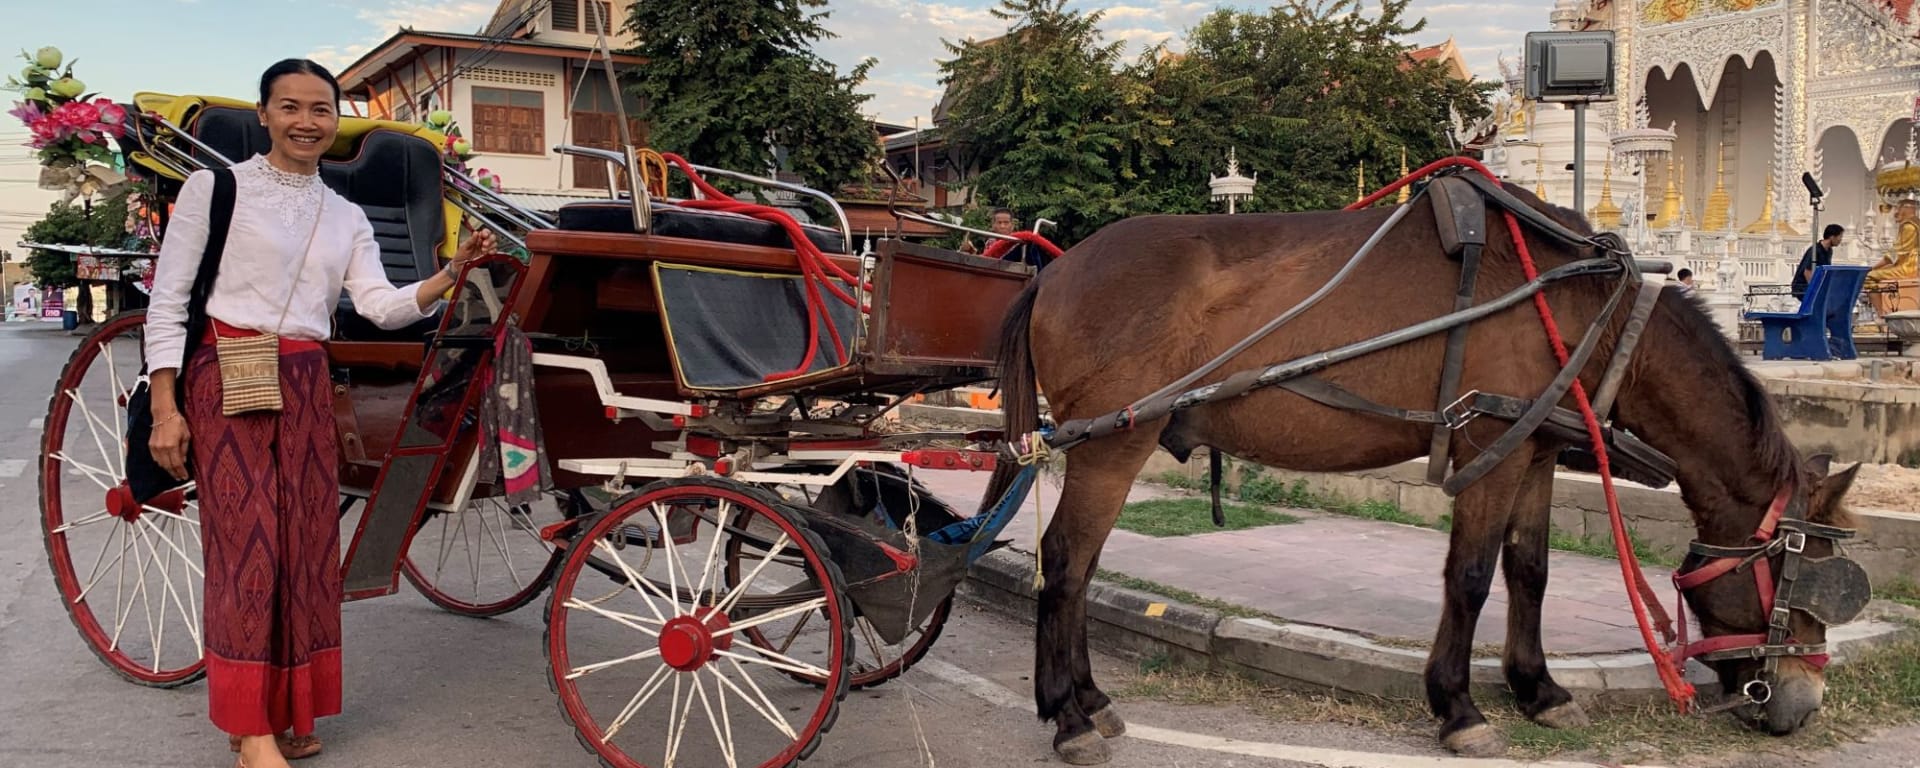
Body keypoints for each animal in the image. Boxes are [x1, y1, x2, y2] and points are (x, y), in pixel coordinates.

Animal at [980, 179, 1862, 763]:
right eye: (1806, 582)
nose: (1802, 704)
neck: (1589, 312)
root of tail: (1056, 269)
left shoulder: (1534, 450)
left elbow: (1530, 569)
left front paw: (1539, 689)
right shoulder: (1486, 445)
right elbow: (1470, 575)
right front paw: (1460, 706)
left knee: (1082, 566)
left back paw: (1090, 697)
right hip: (1111, 443)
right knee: (1066, 562)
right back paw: (1067, 715)